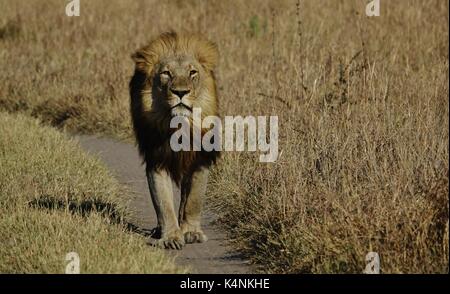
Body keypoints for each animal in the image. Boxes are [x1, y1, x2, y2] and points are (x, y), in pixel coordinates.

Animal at [128, 31, 220, 249]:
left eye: (192, 72)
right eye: (166, 73)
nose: (180, 92)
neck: (180, 126)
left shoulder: (199, 160)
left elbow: (194, 200)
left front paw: (191, 232)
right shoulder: (157, 159)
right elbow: (163, 203)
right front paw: (170, 236)